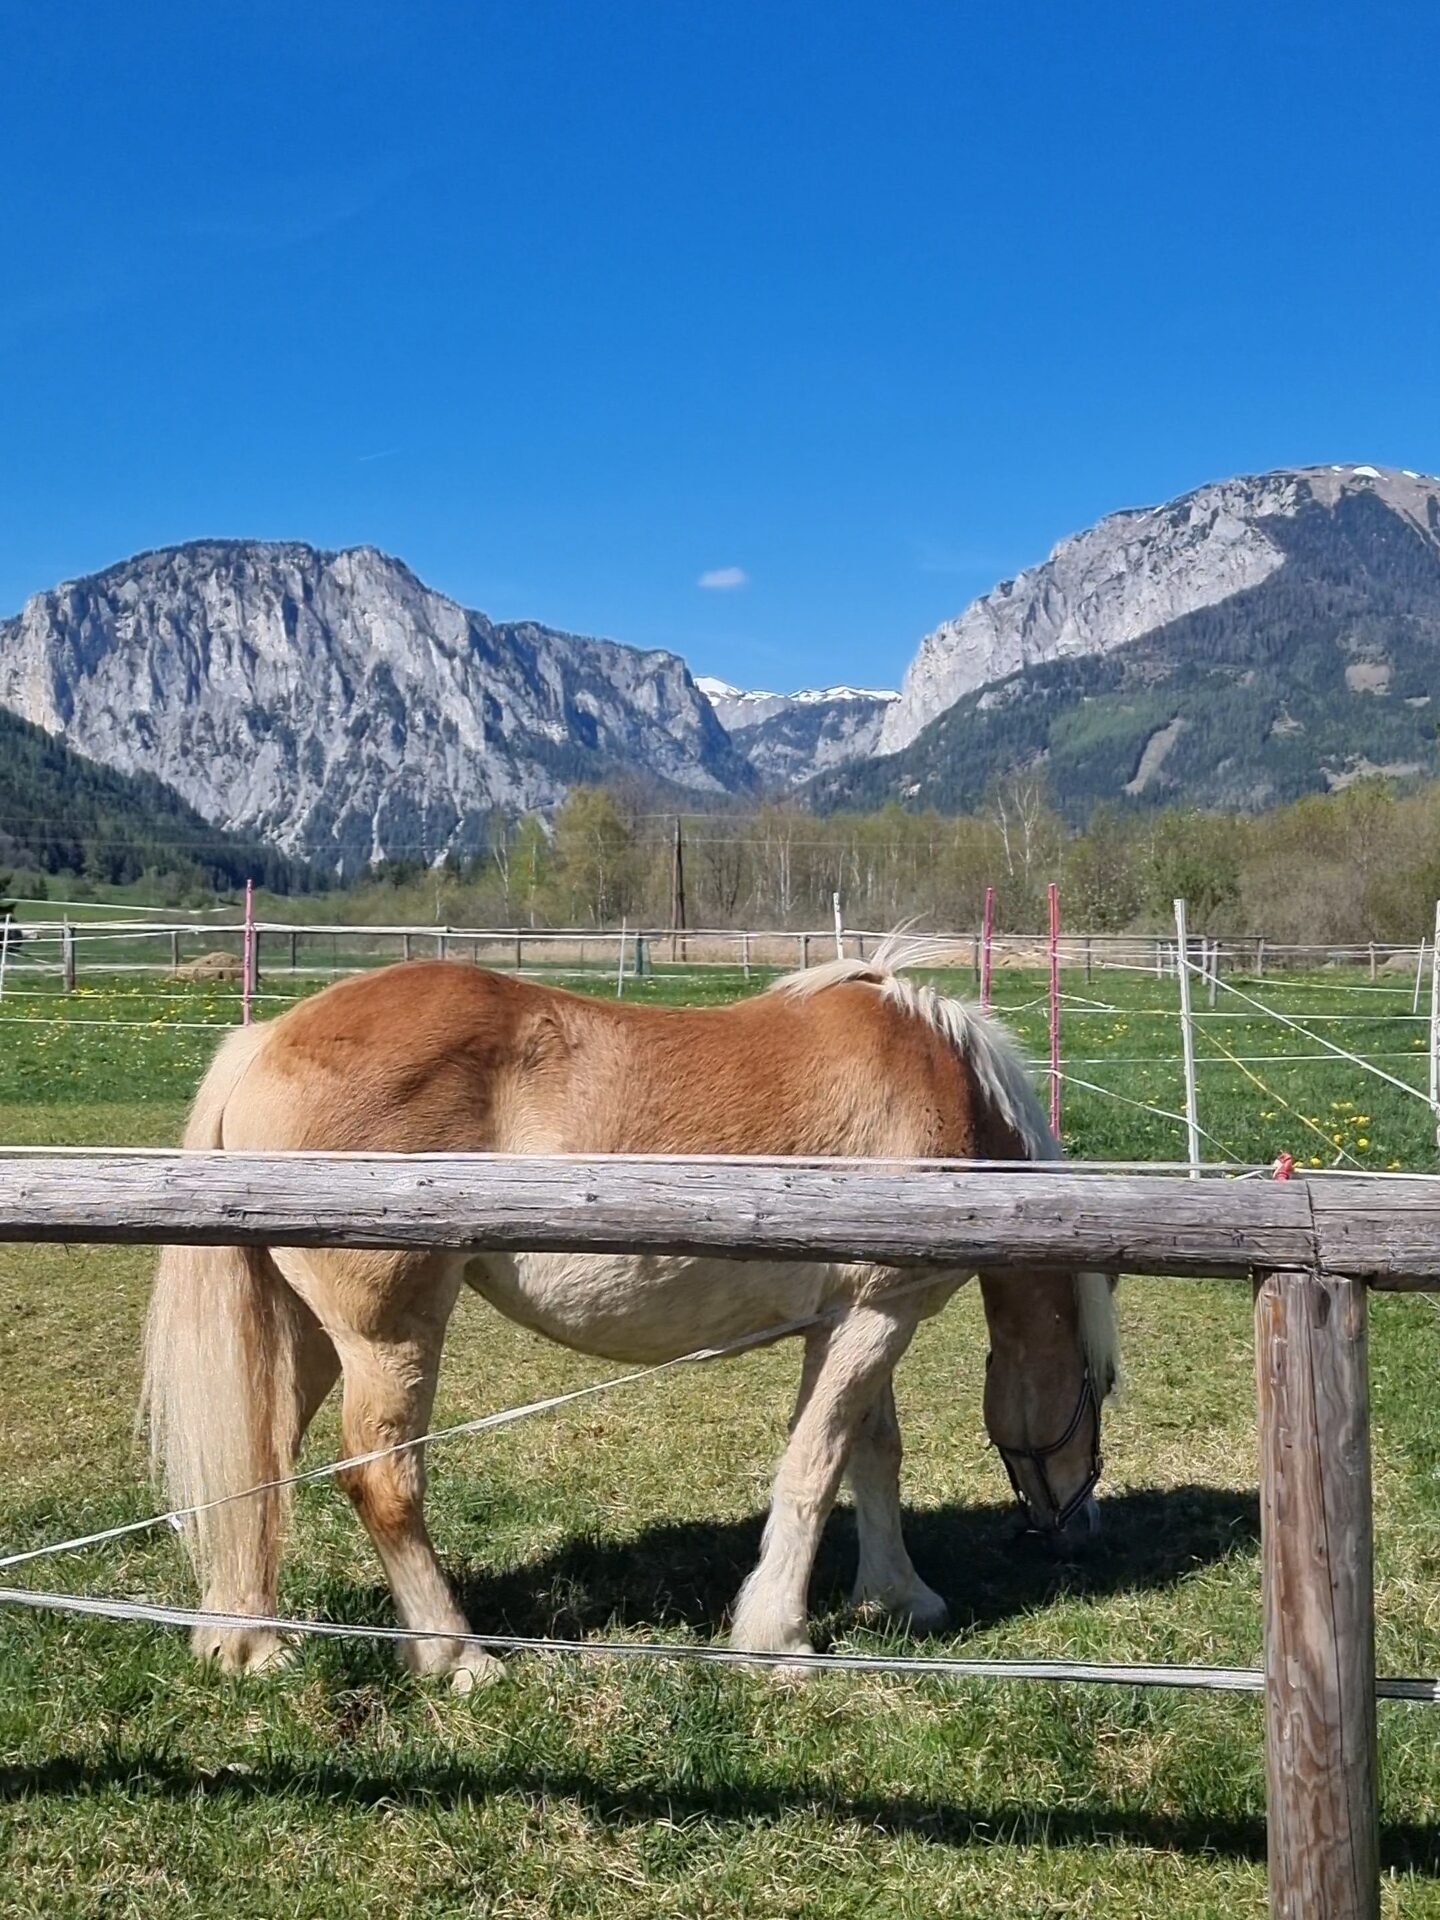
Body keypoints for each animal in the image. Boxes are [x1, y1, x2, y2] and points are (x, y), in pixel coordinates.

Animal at [144, 948, 1113, 1697]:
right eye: (1098, 1387)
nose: (1073, 1531)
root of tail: (267, 1040)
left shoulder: (853, 1322)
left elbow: (870, 1456)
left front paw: (900, 1596)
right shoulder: (876, 1318)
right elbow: (815, 1467)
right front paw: (779, 1640)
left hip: (311, 1334)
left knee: (259, 1460)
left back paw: (249, 1642)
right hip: (388, 1336)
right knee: (381, 1479)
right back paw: (457, 1656)